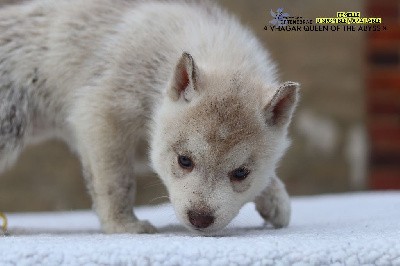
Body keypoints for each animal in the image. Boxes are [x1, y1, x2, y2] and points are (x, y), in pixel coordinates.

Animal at [0, 0, 296, 233]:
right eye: (184, 160)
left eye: (241, 173)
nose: (200, 219)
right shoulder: (100, 114)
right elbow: (116, 182)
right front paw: (123, 225)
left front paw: (276, 200)